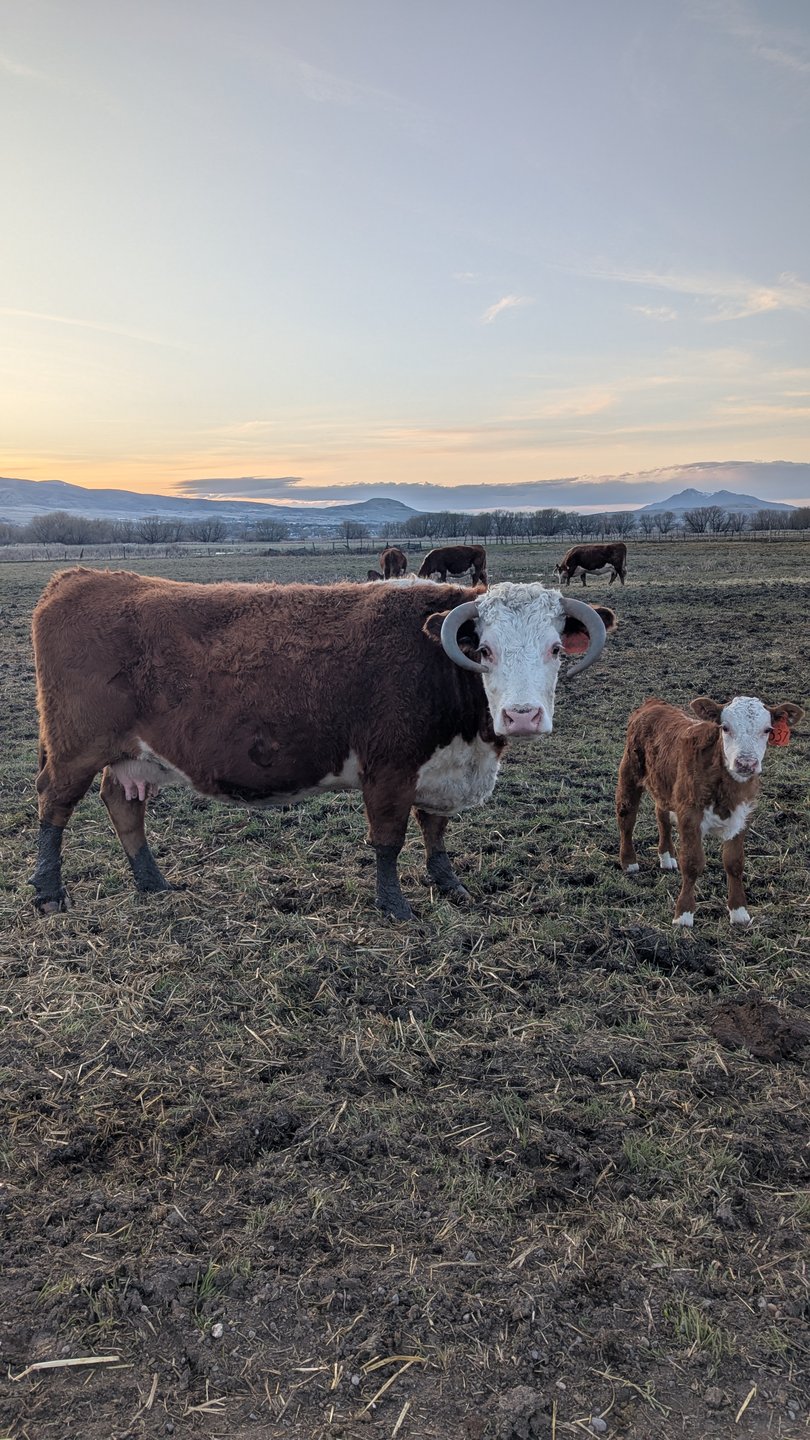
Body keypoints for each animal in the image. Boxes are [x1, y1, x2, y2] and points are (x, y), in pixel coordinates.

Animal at [30, 569, 617, 920]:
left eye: (556, 647)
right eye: (486, 649)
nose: (522, 716)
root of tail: (81, 578)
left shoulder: (439, 767)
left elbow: (435, 830)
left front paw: (449, 884)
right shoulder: (389, 769)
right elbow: (389, 840)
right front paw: (395, 906)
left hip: (131, 756)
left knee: (121, 804)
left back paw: (152, 883)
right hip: (74, 748)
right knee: (53, 807)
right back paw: (49, 893)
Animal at [616, 695, 804, 926]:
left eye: (767, 729)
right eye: (725, 727)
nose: (746, 763)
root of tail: (654, 703)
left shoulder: (743, 816)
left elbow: (734, 863)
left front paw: (739, 912)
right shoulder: (689, 815)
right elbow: (692, 863)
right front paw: (684, 915)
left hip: (665, 784)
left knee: (662, 815)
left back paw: (667, 857)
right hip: (629, 772)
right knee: (626, 817)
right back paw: (629, 862)